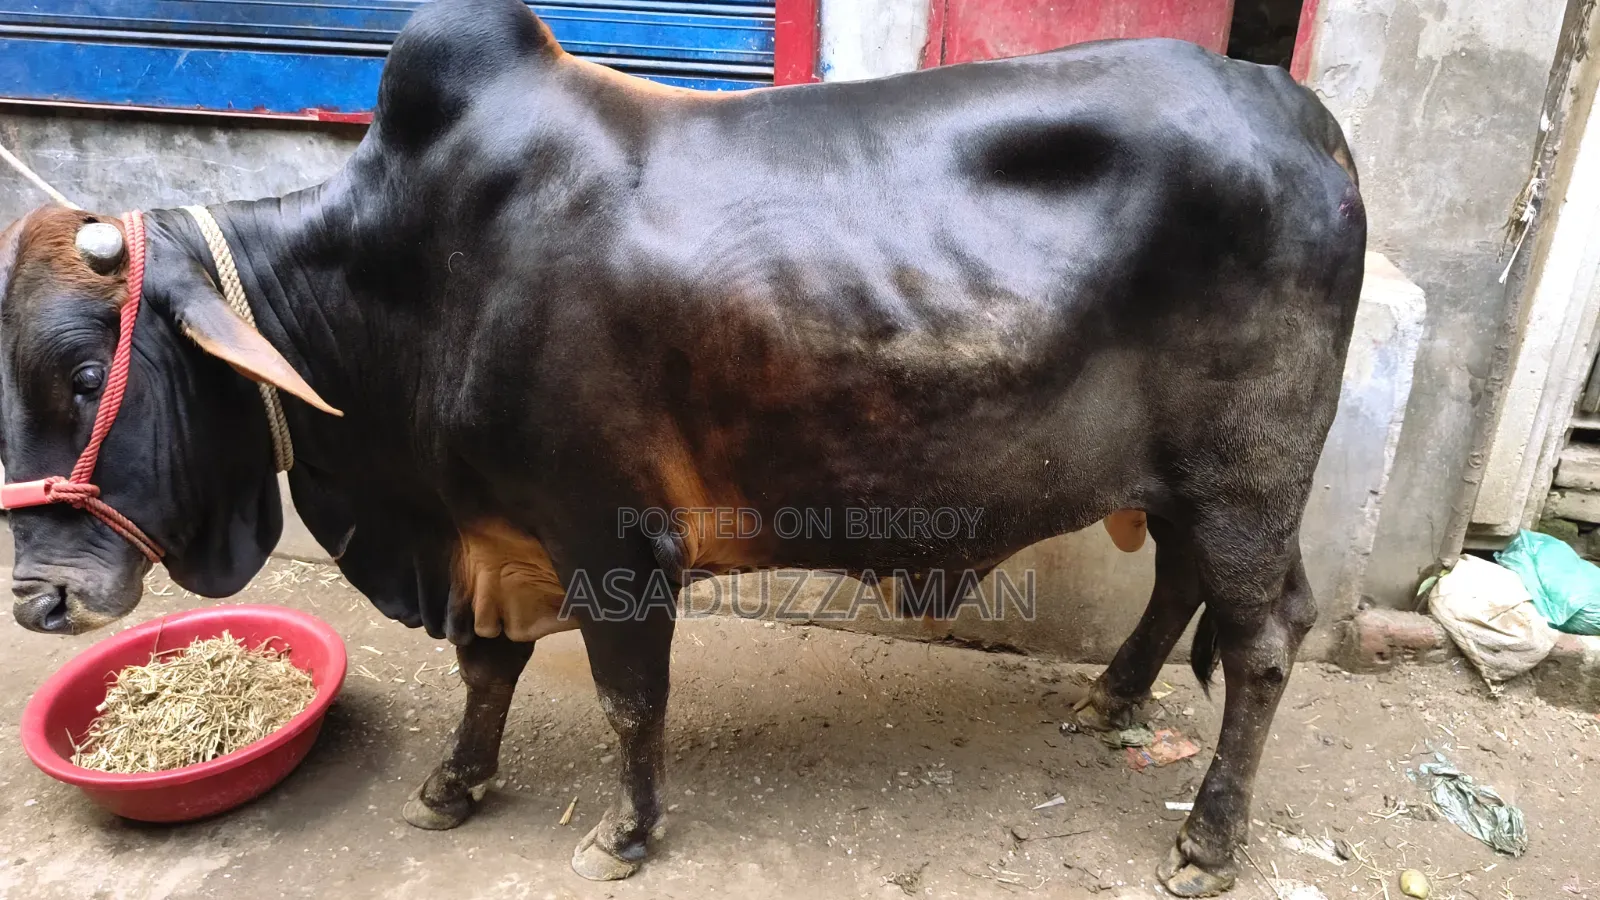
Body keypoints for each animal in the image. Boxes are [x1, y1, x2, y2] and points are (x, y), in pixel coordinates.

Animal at [0, 0, 1364, 894]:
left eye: (86, 374)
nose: (39, 597)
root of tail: (1304, 116)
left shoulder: (608, 540)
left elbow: (625, 698)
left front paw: (626, 834)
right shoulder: (489, 537)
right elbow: (487, 671)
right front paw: (453, 785)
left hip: (1248, 477)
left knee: (1262, 638)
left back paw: (1207, 842)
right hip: (1187, 481)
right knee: (1182, 584)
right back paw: (1108, 699)